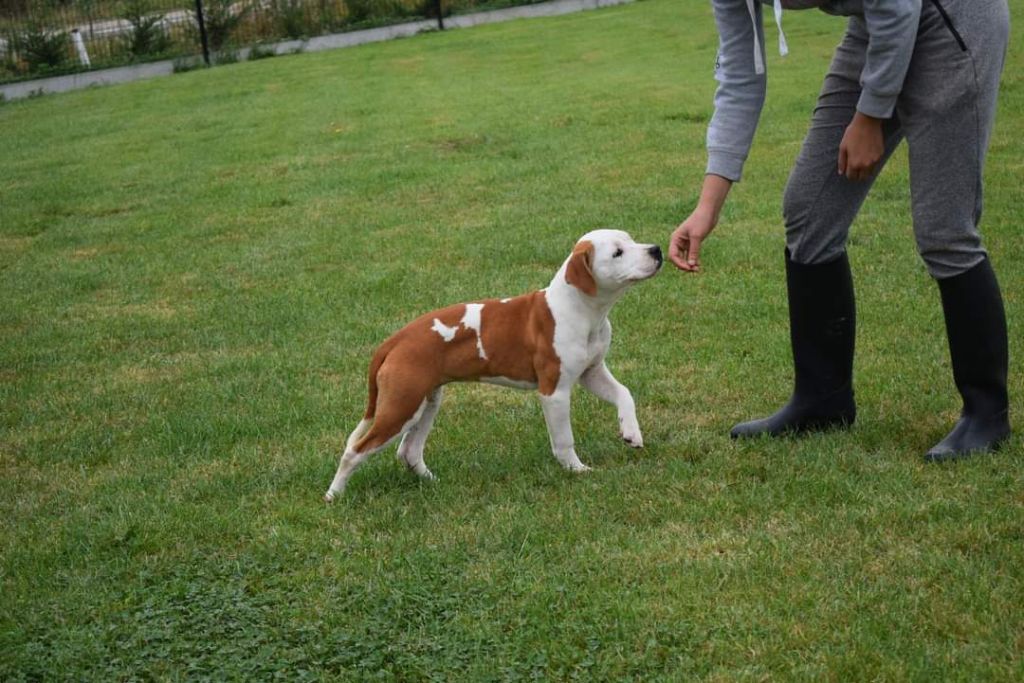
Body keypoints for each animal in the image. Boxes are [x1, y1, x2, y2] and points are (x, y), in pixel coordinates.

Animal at [323, 229, 667, 501]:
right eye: (617, 252)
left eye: (631, 239)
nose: (656, 249)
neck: (582, 309)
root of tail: (393, 340)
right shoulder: (554, 391)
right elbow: (563, 439)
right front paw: (575, 469)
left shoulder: (591, 372)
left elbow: (624, 393)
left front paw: (631, 432)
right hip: (400, 406)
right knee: (355, 450)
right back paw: (334, 495)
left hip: (425, 401)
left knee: (408, 451)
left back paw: (433, 482)